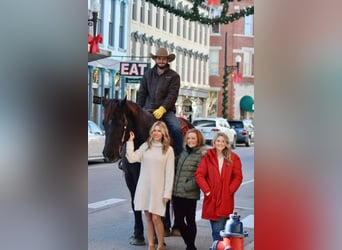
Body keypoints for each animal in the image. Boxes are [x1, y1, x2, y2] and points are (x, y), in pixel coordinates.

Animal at [100, 96, 194, 245]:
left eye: (120, 122)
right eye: (103, 123)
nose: (108, 154)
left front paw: (156, 238)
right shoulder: (131, 179)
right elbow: (135, 204)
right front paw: (138, 235)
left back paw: (175, 228)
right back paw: (165, 228)